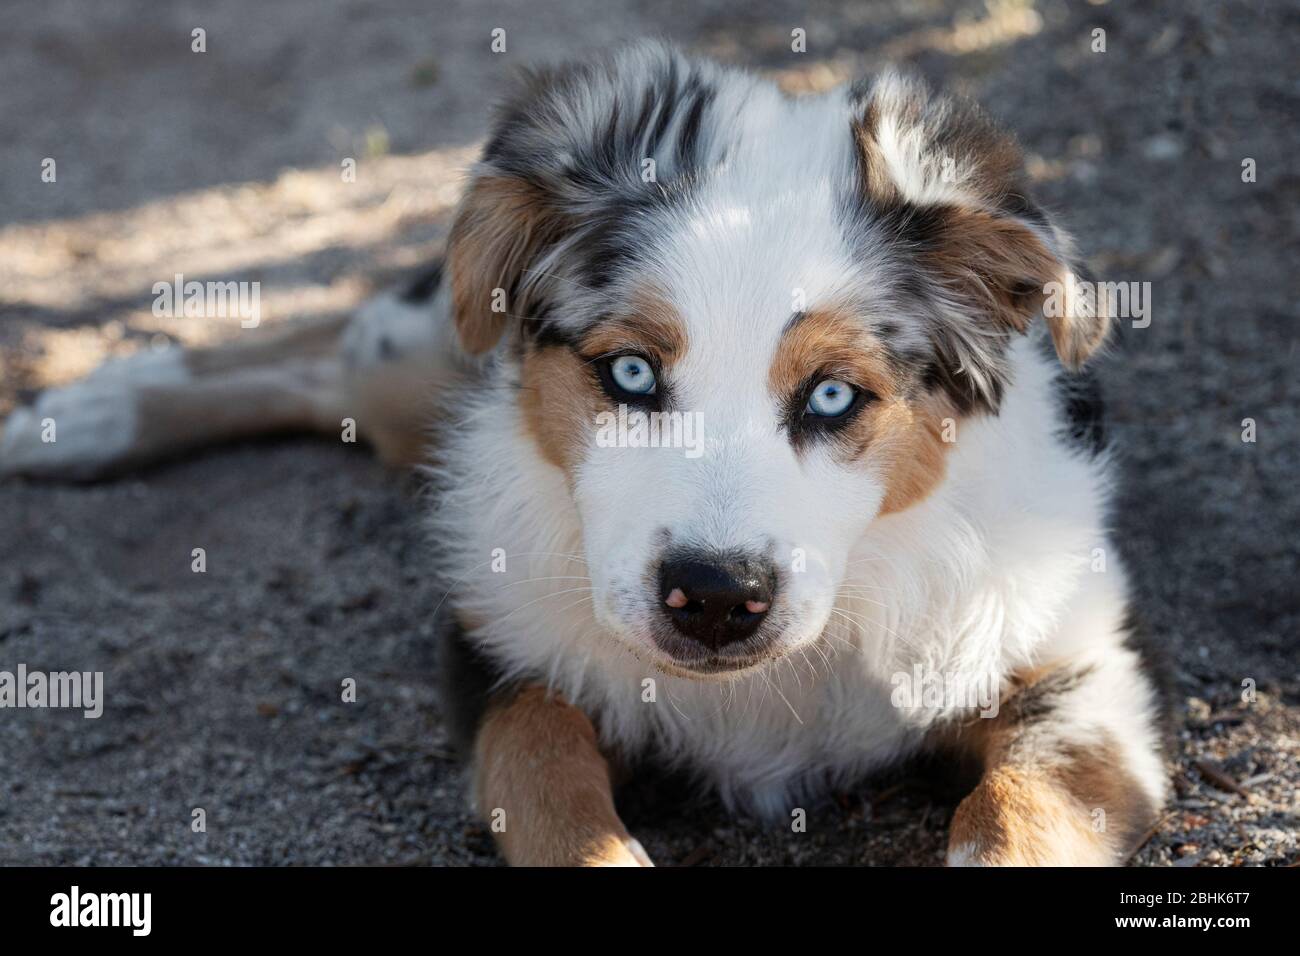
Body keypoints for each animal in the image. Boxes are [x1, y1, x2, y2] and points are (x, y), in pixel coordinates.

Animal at [0, 42, 1175, 868]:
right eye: (631, 374)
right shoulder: (499, 655)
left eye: (835, 394)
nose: (715, 597)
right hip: (434, 350)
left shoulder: (1081, 680)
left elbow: (1009, 814)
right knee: (338, 346)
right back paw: (92, 411)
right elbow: (551, 770)